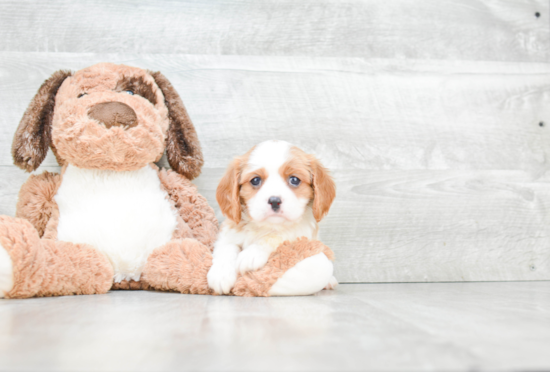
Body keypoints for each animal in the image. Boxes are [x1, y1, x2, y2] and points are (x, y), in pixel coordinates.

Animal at [207, 139, 336, 294]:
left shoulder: (301, 232)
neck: (266, 226)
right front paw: (220, 274)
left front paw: (252, 254)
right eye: (255, 180)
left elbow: (276, 237)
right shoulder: (228, 232)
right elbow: (226, 247)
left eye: (294, 180)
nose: (275, 201)